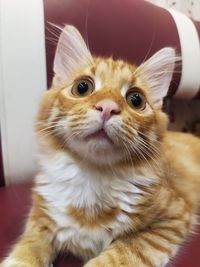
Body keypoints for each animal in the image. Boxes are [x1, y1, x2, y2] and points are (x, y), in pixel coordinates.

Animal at [1, 25, 200, 267]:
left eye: (136, 100)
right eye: (82, 87)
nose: (107, 107)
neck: (92, 175)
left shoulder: (172, 219)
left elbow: (121, 253)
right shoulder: (41, 214)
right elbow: (28, 246)